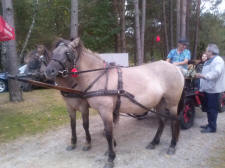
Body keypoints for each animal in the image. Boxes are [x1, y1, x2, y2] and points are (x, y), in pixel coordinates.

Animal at [44, 38, 185, 168]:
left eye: (67, 52)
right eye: (53, 52)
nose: (48, 71)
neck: (98, 76)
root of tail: (175, 67)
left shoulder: (104, 110)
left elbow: (108, 133)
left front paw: (111, 158)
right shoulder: (99, 110)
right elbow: (103, 130)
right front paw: (110, 150)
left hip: (172, 104)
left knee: (174, 121)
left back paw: (172, 145)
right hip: (160, 102)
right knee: (162, 121)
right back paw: (154, 142)